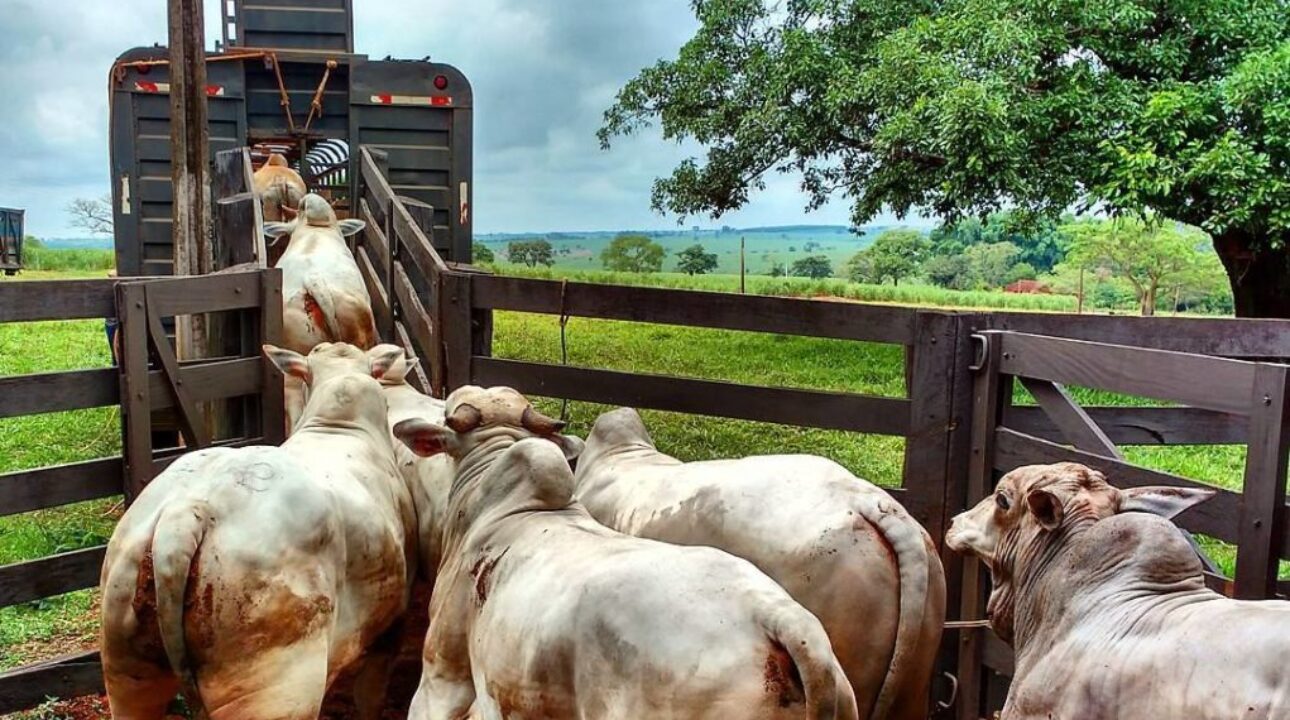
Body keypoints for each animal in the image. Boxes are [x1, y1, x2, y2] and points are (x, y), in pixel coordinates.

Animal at [104, 343, 417, 720]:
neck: (340, 427)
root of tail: (188, 512)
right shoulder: (392, 625)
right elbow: (370, 698)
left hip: (126, 666)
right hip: (276, 685)